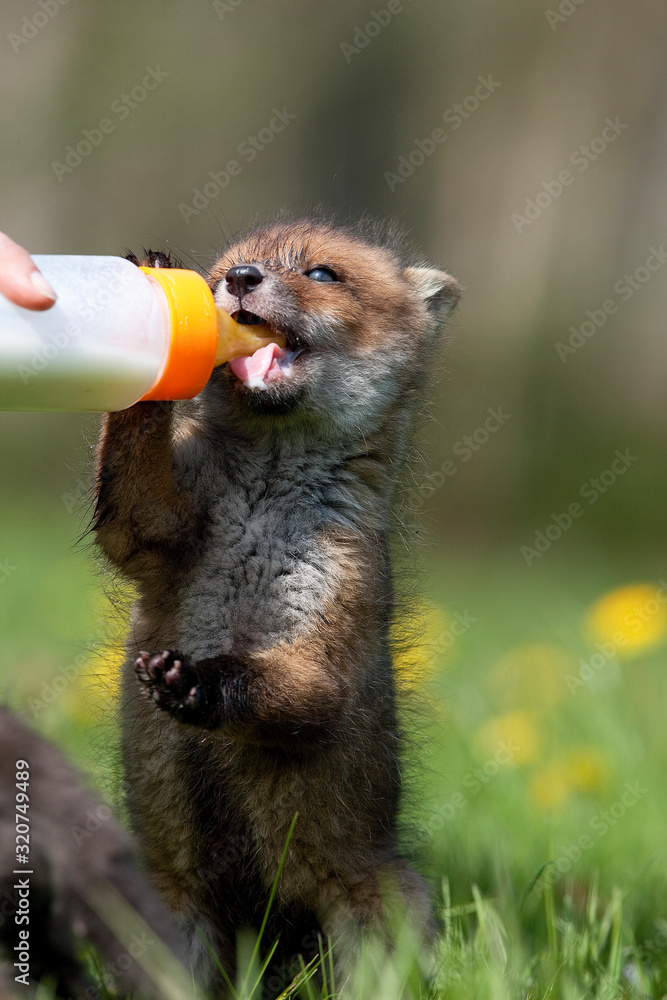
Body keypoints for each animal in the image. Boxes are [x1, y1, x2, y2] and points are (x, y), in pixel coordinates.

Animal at [92, 219, 460, 992]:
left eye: (322, 274)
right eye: (226, 270)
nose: (241, 280)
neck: (258, 512)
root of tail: (266, 934)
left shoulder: (329, 637)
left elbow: (280, 689)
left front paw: (195, 683)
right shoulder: (150, 530)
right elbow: (132, 482)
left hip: (380, 910)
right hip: (172, 918)